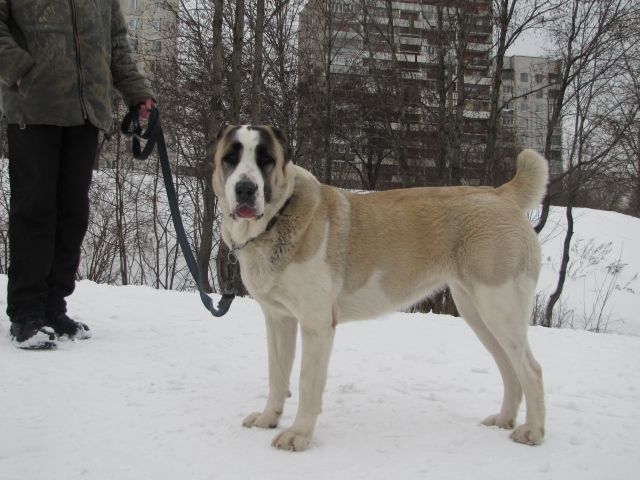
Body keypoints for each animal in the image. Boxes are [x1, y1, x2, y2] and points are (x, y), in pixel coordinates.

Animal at [212, 125, 548, 451]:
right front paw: (268, 418)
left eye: (265, 159)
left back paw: (532, 431)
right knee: (509, 367)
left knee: (531, 369)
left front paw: (299, 435)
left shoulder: (316, 324)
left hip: (499, 306)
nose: (245, 189)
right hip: (476, 312)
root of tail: (500, 194)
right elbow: (277, 374)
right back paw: (504, 419)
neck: (277, 219)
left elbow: (307, 382)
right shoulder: (278, 320)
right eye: (231, 158)